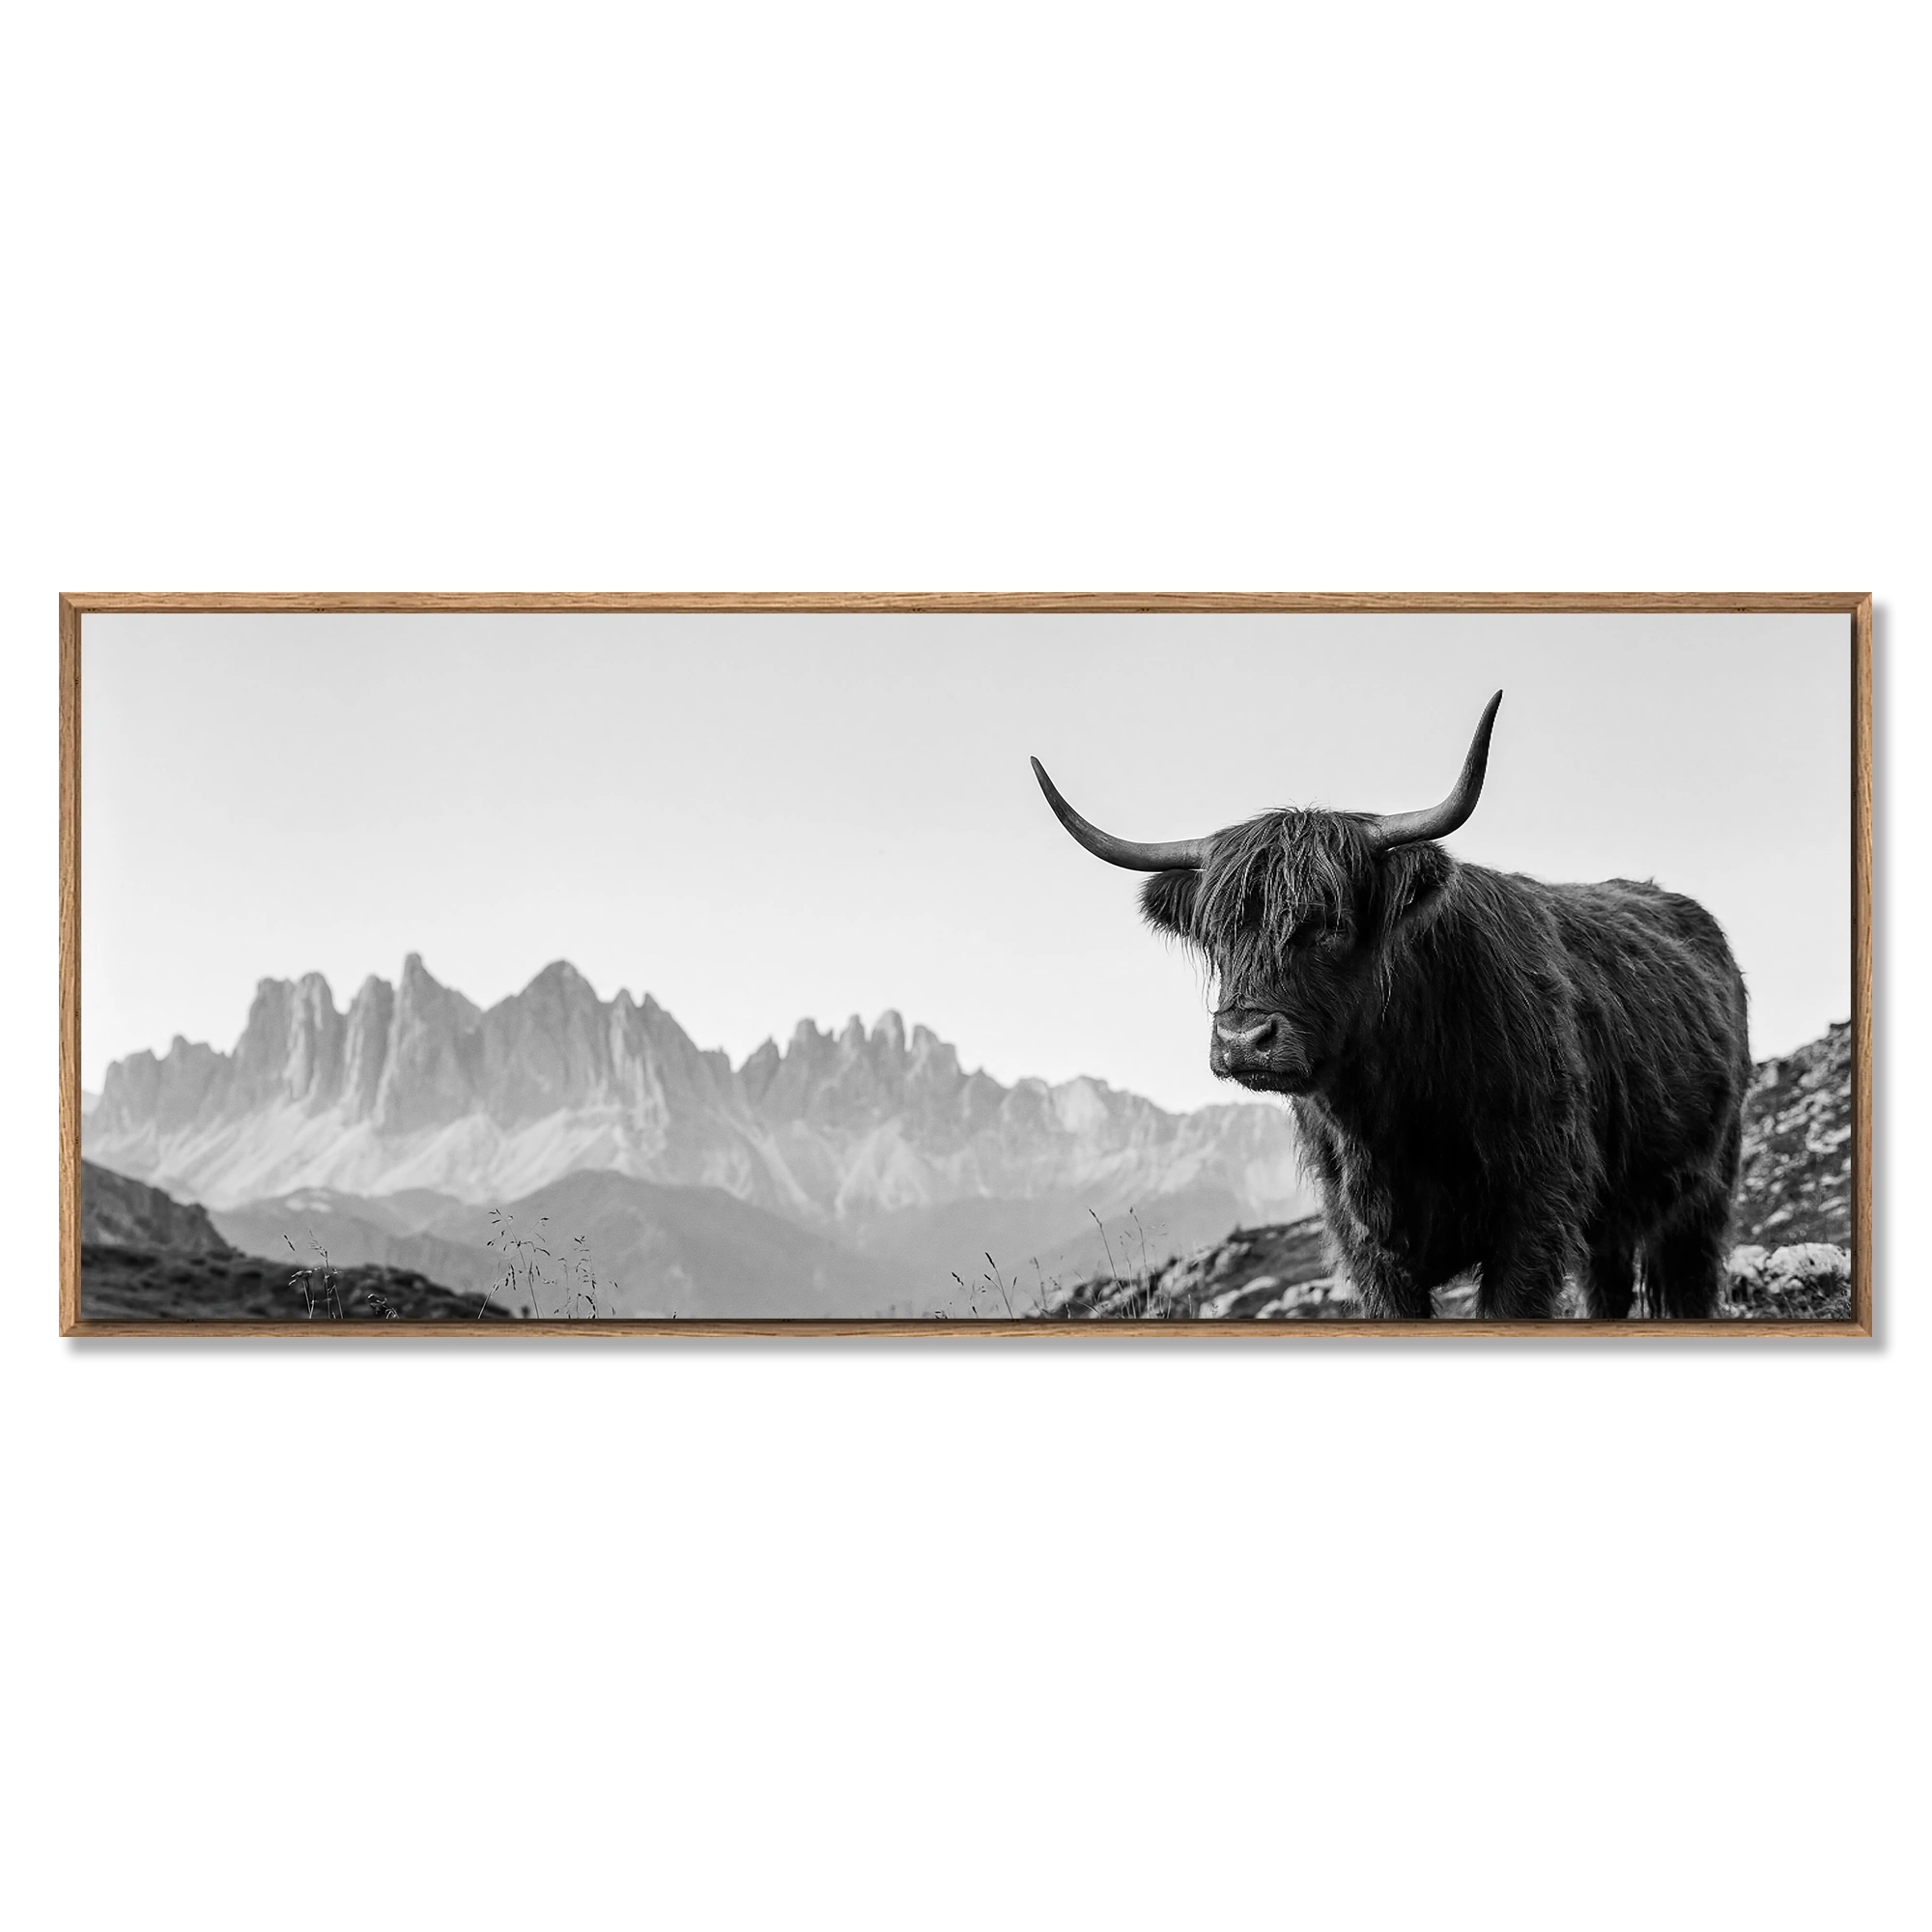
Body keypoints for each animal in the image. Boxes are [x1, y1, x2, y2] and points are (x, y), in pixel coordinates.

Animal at [1031, 693, 1752, 1319]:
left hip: (1704, 1189)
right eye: (1217, 933)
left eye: (1332, 924)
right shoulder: (1366, 1244)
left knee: (1687, 1279)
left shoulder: (1534, 1212)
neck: (1389, 1113)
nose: (1243, 1039)